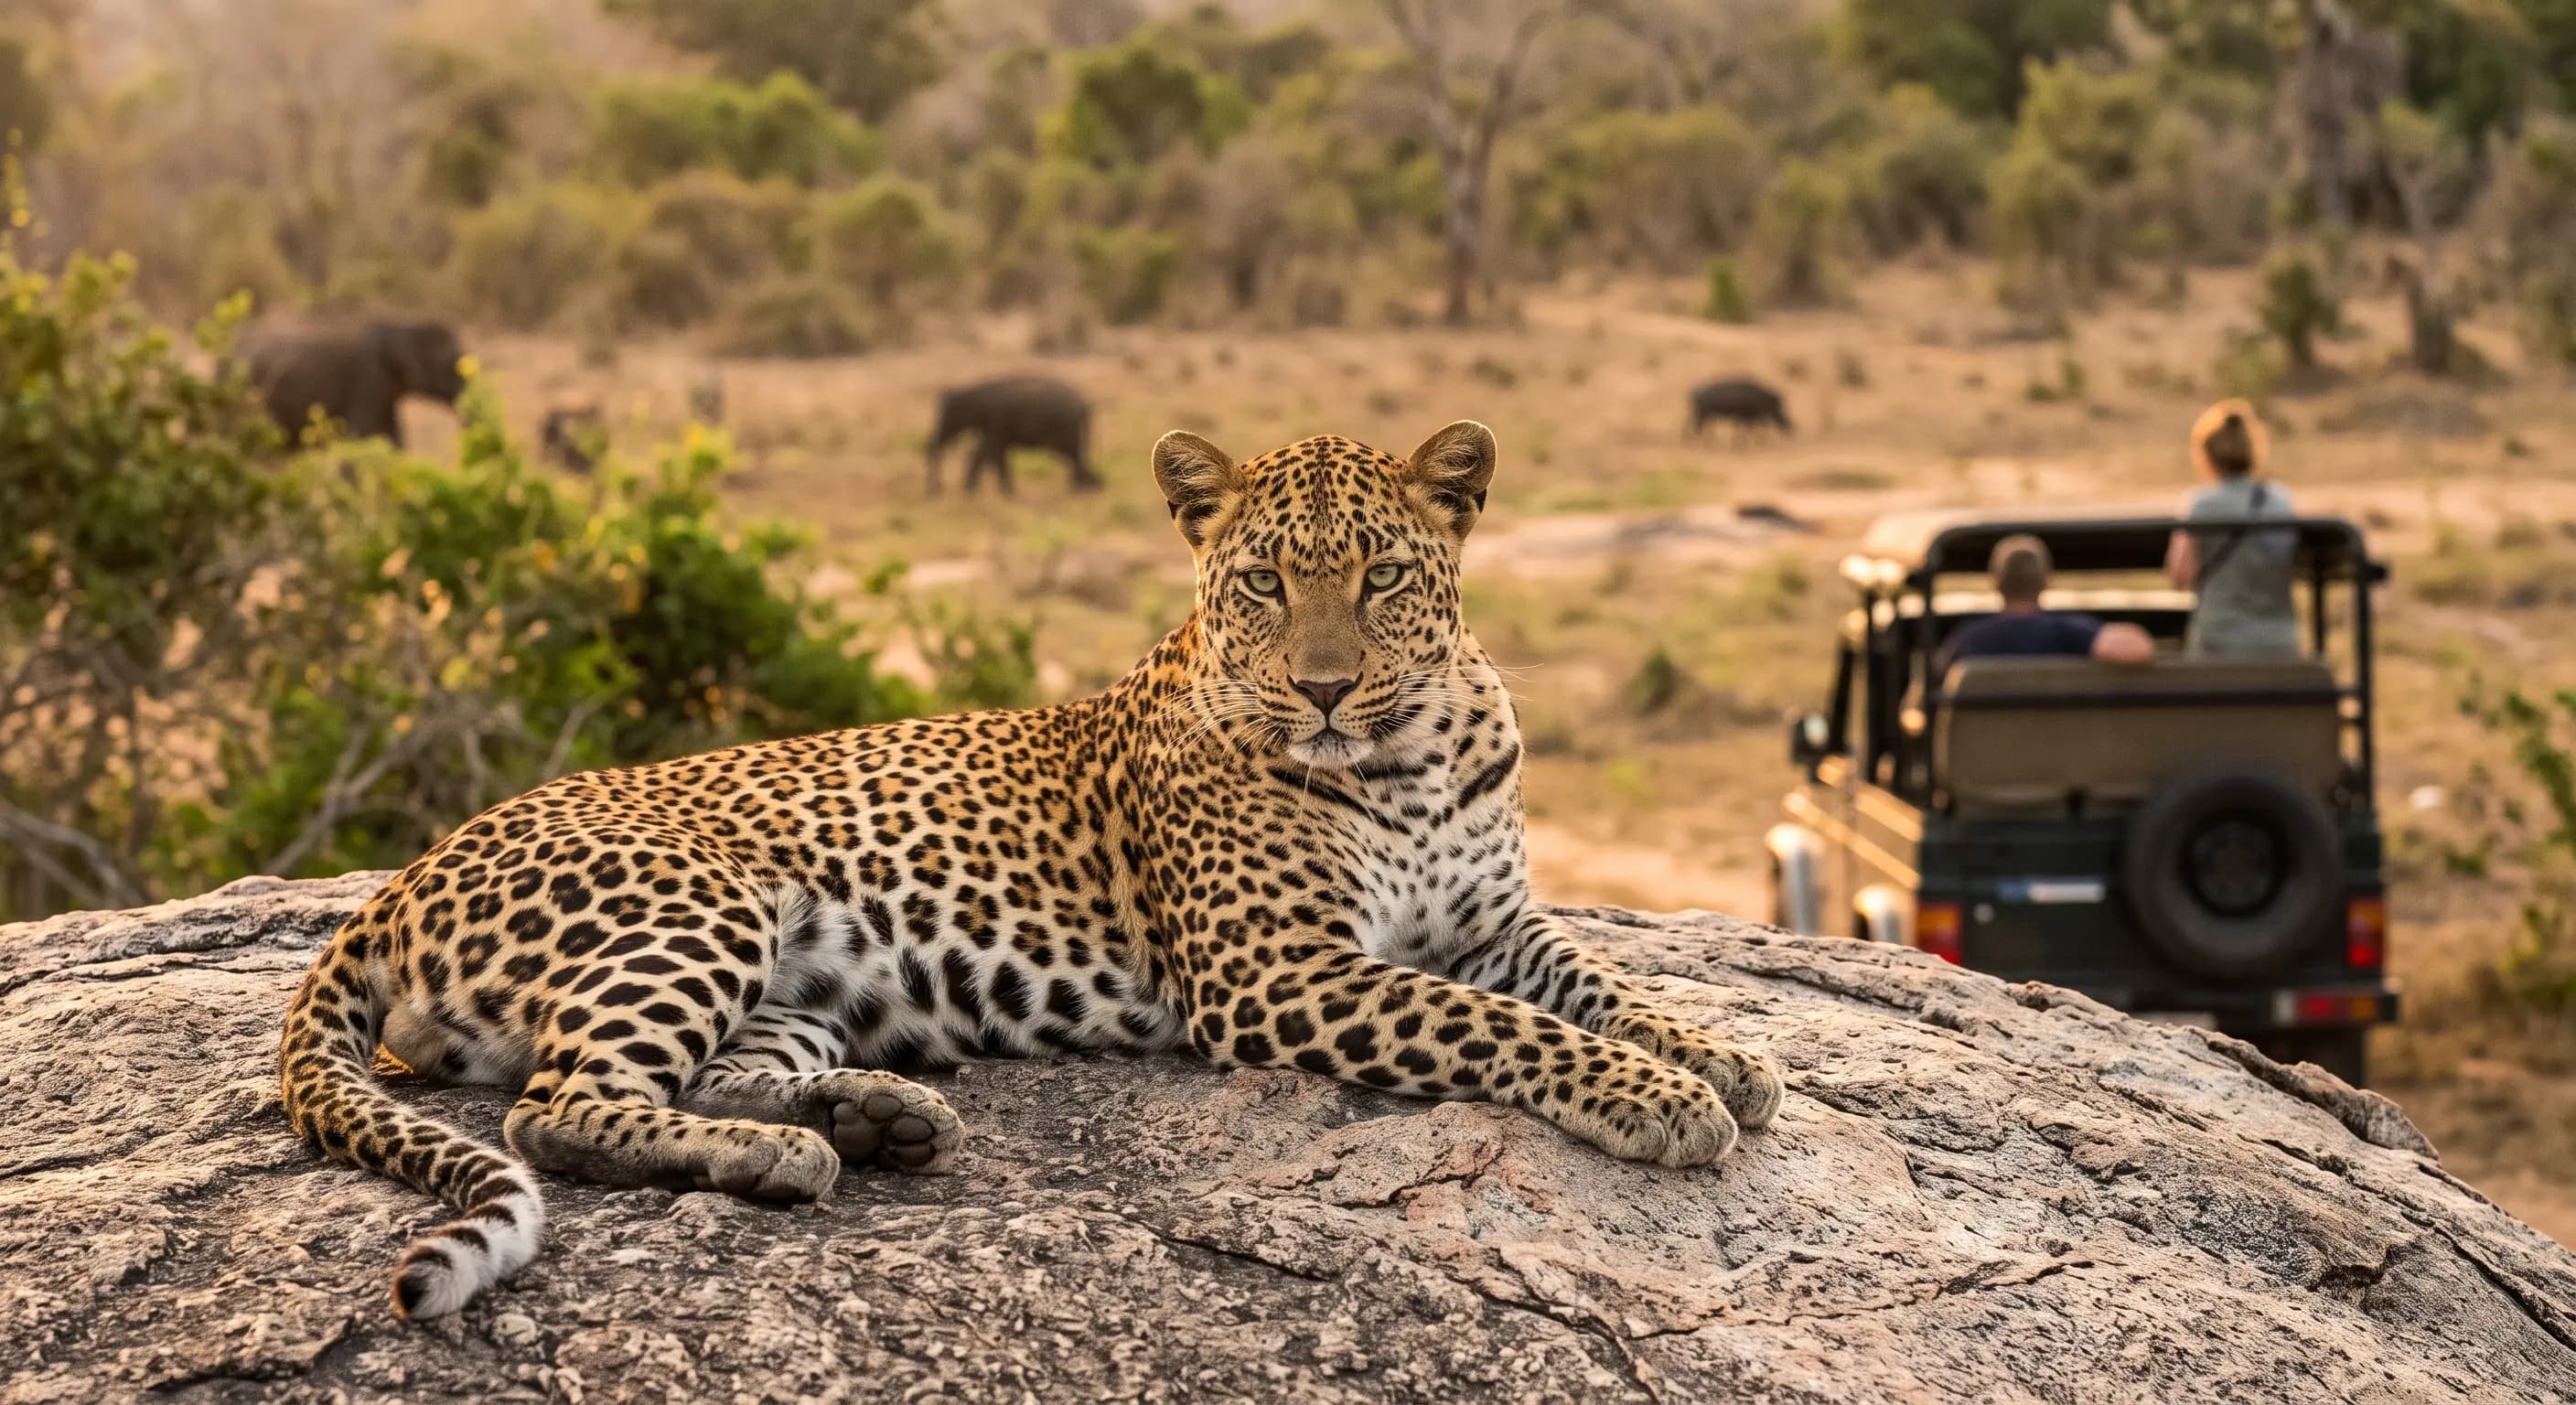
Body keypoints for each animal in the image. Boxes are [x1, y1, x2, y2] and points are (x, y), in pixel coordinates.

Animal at [925, 375, 1101, 496]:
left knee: (1074, 456)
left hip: (1067, 429)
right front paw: (1006, 493)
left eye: (944, 415)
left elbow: (986, 451)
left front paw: (972, 491)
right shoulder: (997, 427)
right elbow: (994, 453)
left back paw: (1083, 489)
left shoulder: (996, 421)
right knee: (1075, 457)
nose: (937, 489)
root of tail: (1085, 407)